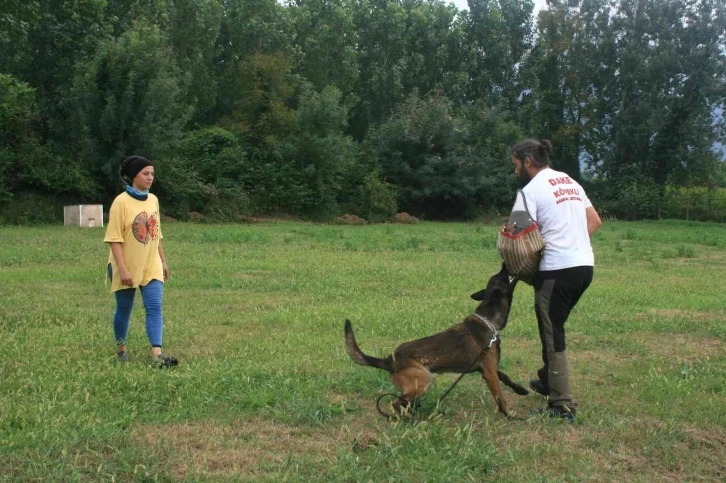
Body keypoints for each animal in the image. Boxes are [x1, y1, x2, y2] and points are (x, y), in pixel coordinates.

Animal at [346, 262, 528, 418]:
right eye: (501, 276)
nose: (504, 264)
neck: (488, 319)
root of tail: (389, 359)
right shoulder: (489, 372)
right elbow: (500, 397)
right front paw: (510, 415)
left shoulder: (485, 367)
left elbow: (505, 376)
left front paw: (520, 389)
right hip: (425, 380)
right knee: (397, 403)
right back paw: (410, 420)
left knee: (404, 402)